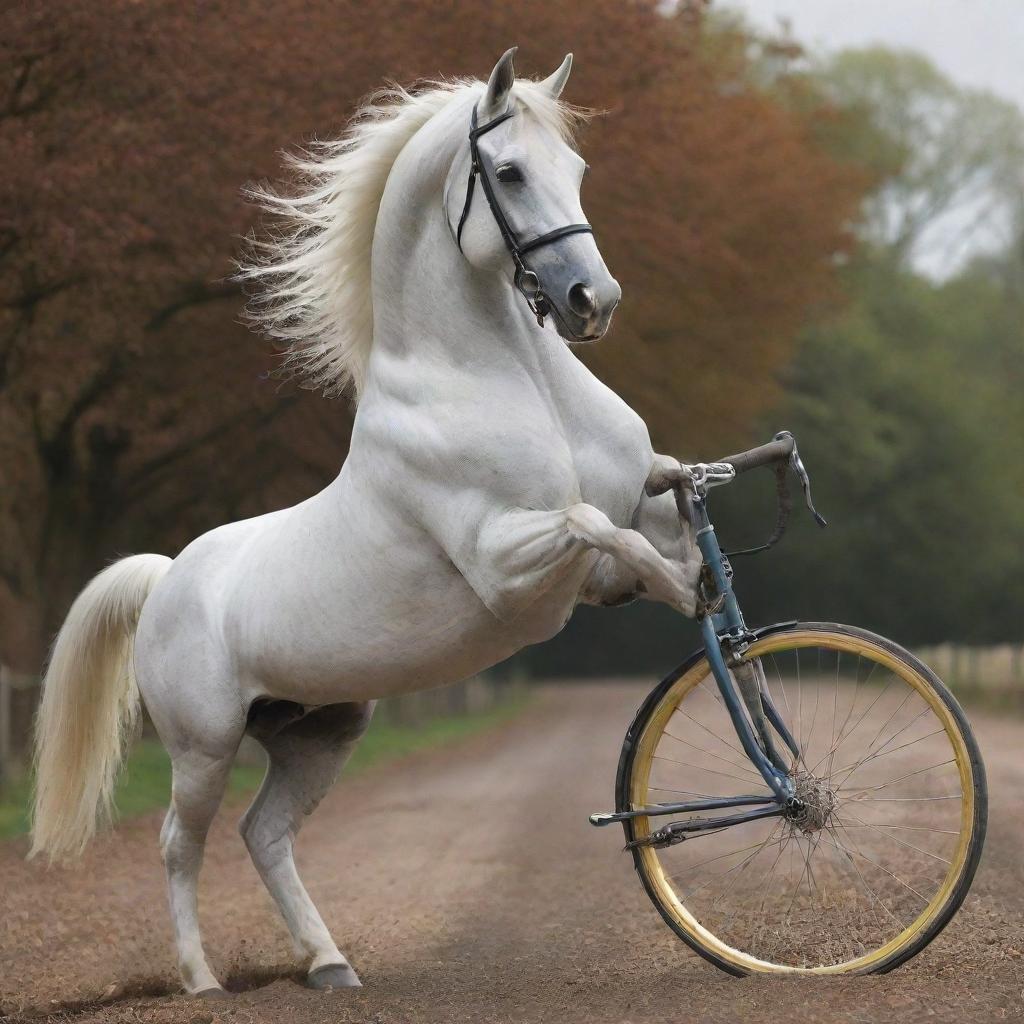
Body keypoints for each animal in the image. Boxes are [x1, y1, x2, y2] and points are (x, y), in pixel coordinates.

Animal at [34, 46, 704, 991]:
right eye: (509, 172)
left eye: (575, 169)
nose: (591, 301)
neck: (511, 380)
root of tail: (166, 579)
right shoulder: (511, 570)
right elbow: (596, 525)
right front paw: (690, 592)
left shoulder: (623, 515)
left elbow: (650, 509)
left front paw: (705, 573)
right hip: (203, 747)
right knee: (178, 844)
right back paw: (203, 981)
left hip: (320, 733)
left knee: (264, 834)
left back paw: (329, 963)